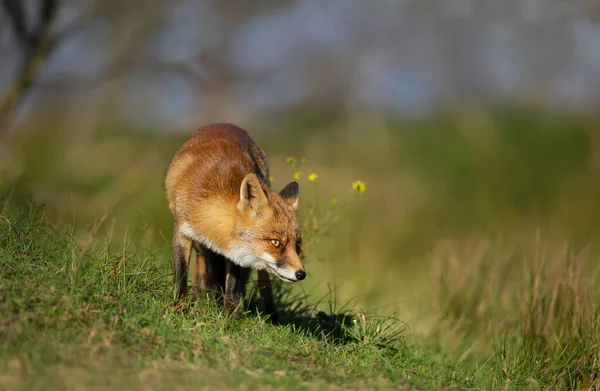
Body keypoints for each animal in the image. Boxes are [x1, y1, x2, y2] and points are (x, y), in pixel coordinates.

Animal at [164, 123, 304, 324]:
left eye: (297, 246)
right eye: (276, 243)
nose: (301, 274)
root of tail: (226, 124)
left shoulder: (235, 251)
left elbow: (232, 286)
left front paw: (229, 318)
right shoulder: (182, 230)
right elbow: (181, 276)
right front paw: (178, 308)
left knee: (263, 281)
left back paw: (272, 317)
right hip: (199, 245)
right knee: (202, 265)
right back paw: (199, 296)